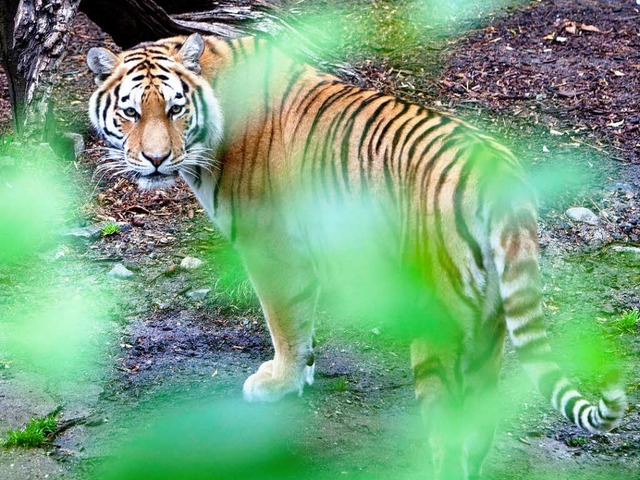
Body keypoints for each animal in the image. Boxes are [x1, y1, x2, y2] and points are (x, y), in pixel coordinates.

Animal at [85, 31, 624, 478]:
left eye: (175, 109)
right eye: (131, 112)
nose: (156, 160)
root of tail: (503, 179)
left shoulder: (272, 250)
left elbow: (284, 321)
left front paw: (280, 381)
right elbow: (303, 322)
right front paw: (303, 371)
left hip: (438, 325)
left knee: (448, 435)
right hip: (490, 327)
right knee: (477, 428)